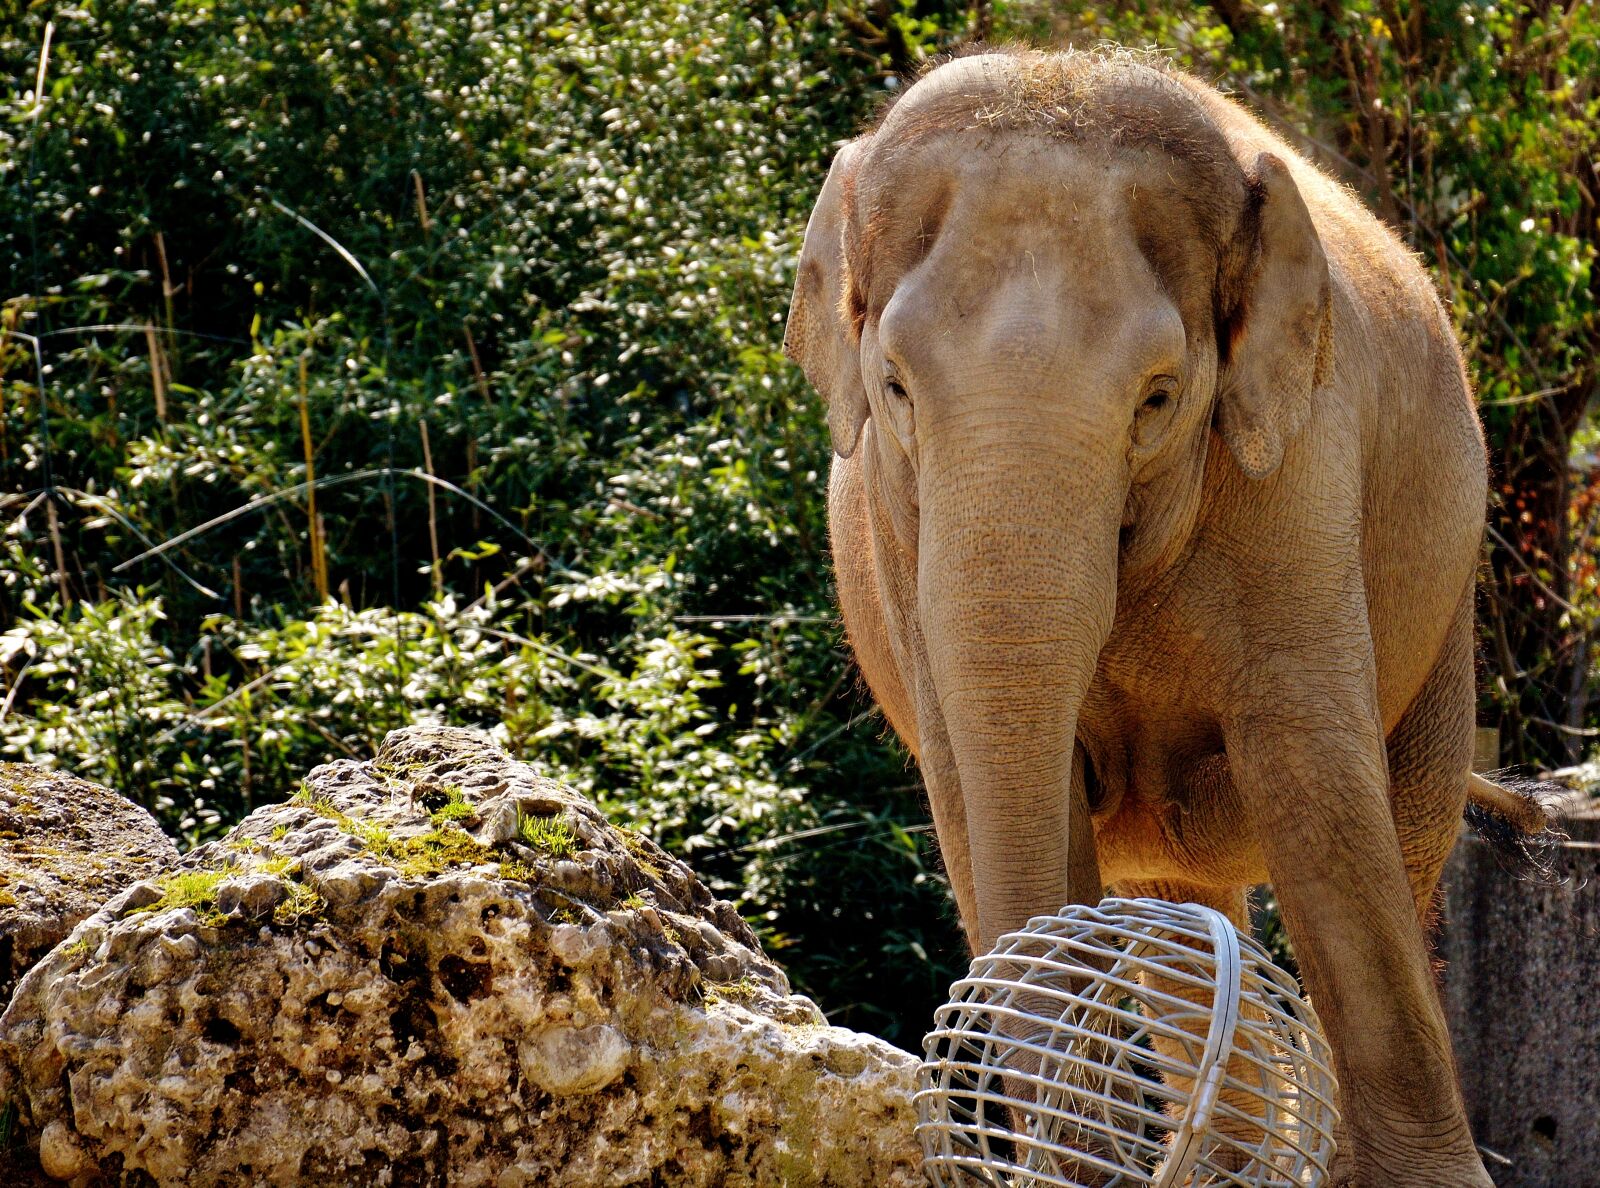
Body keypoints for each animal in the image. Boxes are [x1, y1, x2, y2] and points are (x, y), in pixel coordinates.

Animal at [784, 47, 1540, 1187]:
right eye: (894, 387)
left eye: (1158, 397)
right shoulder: (895, 521)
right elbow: (989, 785)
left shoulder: (1298, 473)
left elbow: (1315, 781)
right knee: (1182, 921)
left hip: (1447, 584)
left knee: (1404, 837)